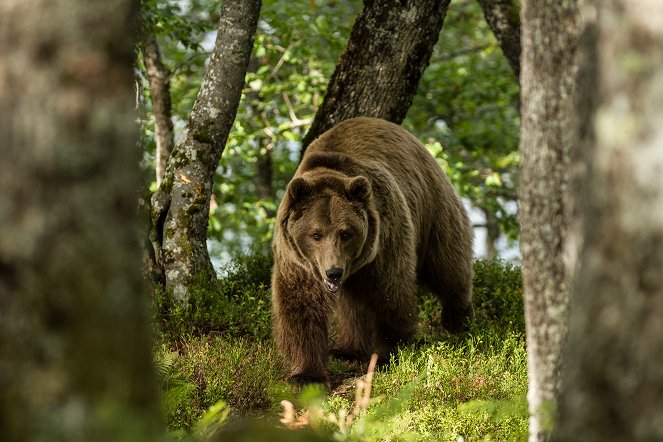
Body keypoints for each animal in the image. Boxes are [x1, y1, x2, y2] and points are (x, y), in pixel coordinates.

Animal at [270, 116, 472, 384]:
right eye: (316, 234)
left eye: (346, 233)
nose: (333, 272)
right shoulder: (298, 261)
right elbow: (301, 306)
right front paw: (307, 374)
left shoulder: (383, 243)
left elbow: (390, 294)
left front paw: (387, 353)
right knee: (353, 305)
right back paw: (348, 349)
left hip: (432, 205)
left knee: (447, 263)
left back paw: (458, 320)